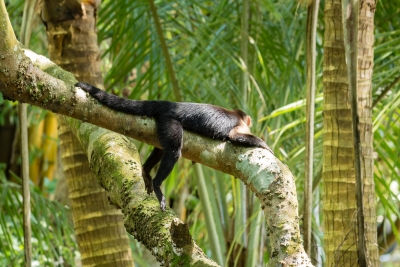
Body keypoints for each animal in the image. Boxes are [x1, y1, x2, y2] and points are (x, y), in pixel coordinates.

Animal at [75, 82, 272, 213]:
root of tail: (168, 103)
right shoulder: (240, 123)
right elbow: (234, 136)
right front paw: (265, 146)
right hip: (169, 120)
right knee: (173, 151)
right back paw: (156, 183)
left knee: (163, 148)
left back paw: (146, 170)